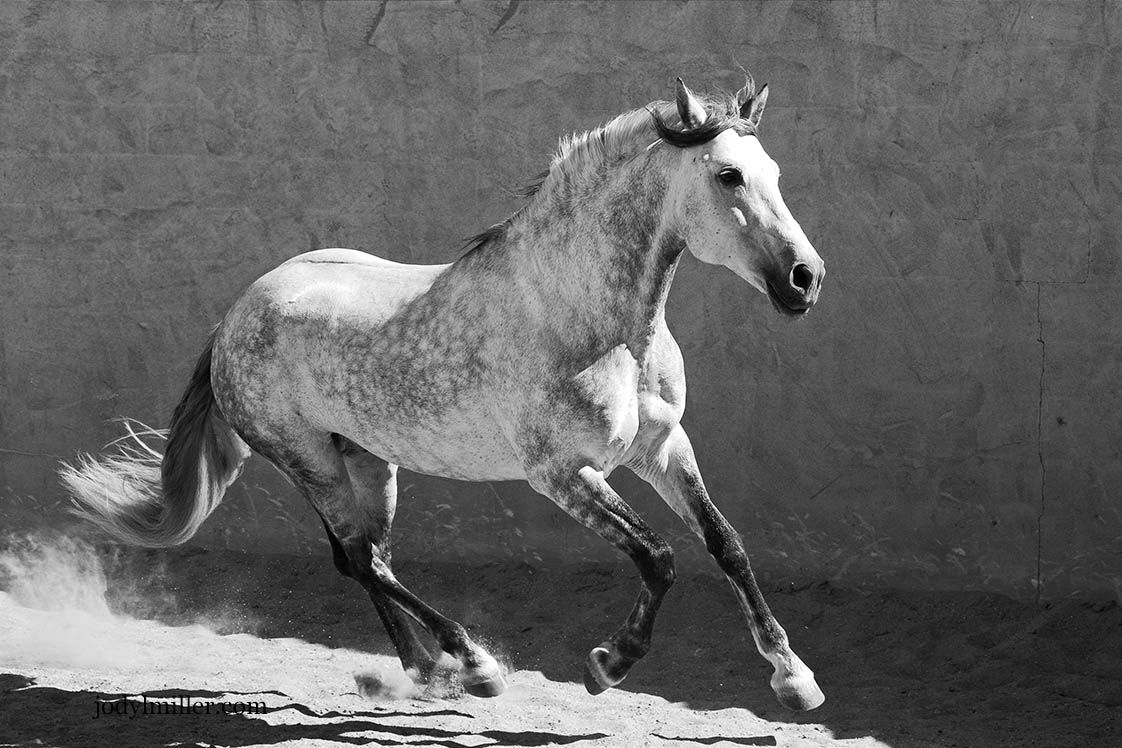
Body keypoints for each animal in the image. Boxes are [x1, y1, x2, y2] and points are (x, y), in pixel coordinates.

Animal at [61, 76, 826, 710]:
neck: (594, 325)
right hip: (308, 460)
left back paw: (427, 673)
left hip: (369, 461)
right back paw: (473, 664)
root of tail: (233, 316)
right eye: (728, 174)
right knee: (362, 559)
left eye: (774, 173)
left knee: (364, 560)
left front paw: (794, 679)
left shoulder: (663, 448)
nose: (805, 279)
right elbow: (658, 556)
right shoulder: (562, 475)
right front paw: (608, 664)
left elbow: (726, 545)